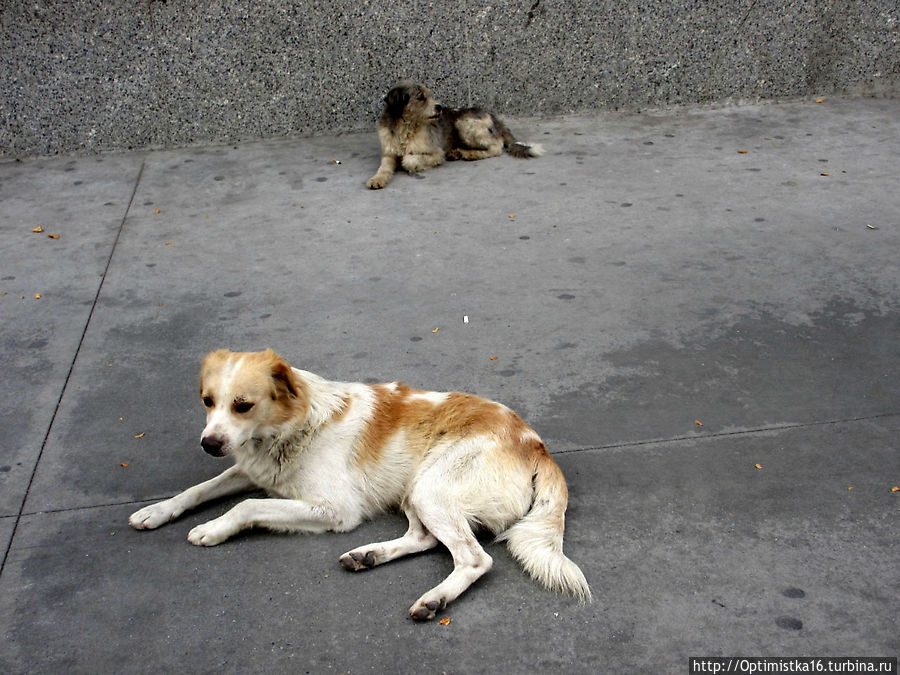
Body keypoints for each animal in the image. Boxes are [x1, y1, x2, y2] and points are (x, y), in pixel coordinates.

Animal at [128, 352, 592, 620]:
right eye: (207, 401)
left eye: (243, 405)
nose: (208, 444)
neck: (295, 426)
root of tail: (536, 445)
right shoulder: (251, 469)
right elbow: (198, 489)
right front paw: (156, 510)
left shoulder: (334, 509)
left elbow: (247, 507)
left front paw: (213, 528)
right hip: (415, 490)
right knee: (423, 538)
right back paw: (368, 556)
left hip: (430, 490)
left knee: (475, 559)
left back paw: (435, 599)